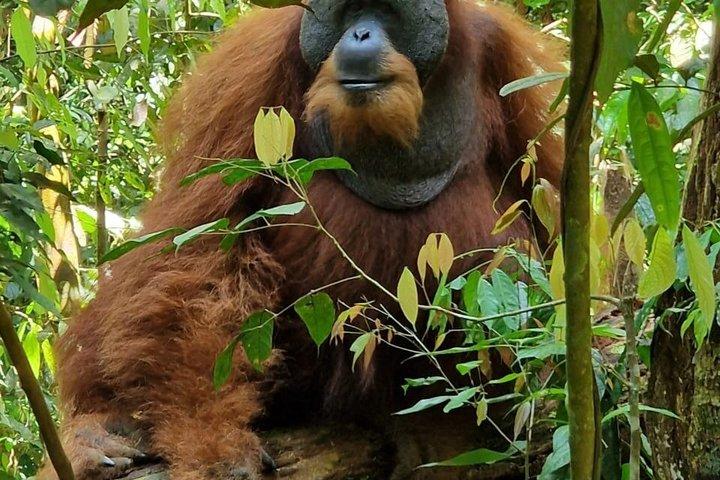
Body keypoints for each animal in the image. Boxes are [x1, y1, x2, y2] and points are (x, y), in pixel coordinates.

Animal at [39, 1, 564, 479]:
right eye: (349, 10)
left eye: (388, 11)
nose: (360, 33)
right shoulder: (252, 69)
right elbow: (199, 241)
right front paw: (216, 447)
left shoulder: (514, 67)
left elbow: (549, 210)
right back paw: (100, 434)